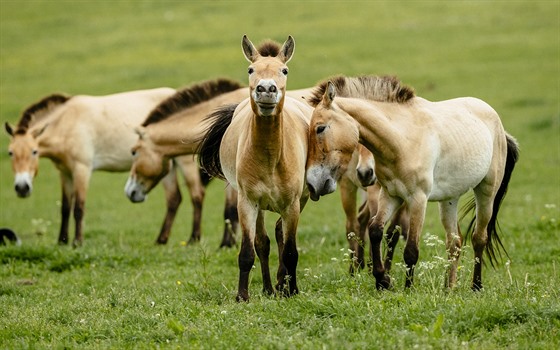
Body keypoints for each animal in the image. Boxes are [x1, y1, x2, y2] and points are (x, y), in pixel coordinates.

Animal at [3, 89, 206, 247]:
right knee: (174, 199)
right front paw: (62, 241)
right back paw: (161, 240)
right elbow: (65, 207)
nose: (22, 187)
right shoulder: (64, 172)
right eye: (10, 152)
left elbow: (79, 207)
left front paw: (77, 242)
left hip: (184, 162)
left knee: (196, 195)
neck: (67, 123)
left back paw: (193, 239)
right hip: (165, 166)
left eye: (34, 151)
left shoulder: (82, 169)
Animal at [124, 78, 249, 246]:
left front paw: (225, 244)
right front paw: (228, 243)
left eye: (133, 151)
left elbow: (231, 209)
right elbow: (230, 209)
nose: (129, 191)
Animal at [198, 35, 316, 300]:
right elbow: (248, 252)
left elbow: (291, 251)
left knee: (280, 234)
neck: (271, 157)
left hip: (299, 201)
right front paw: (242, 296)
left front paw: (292, 290)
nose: (266, 89)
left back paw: (282, 285)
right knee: (263, 242)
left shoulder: (292, 204)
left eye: (284, 70)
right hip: (260, 206)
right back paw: (270, 288)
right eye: (251, 69)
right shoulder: (247, 202)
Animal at [304, 74, 520, 290]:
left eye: (320, 128)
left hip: (486, 192)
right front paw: (383, 280)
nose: (313, 184)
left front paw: (407, 289)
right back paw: (448, 288)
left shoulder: (417, 199)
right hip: (449, 199)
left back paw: (476, 286)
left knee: (479, 238)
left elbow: (410, 249)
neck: (402, 139)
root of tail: (498, 125)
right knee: (454, 242)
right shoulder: (390, 195)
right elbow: (376, 230)